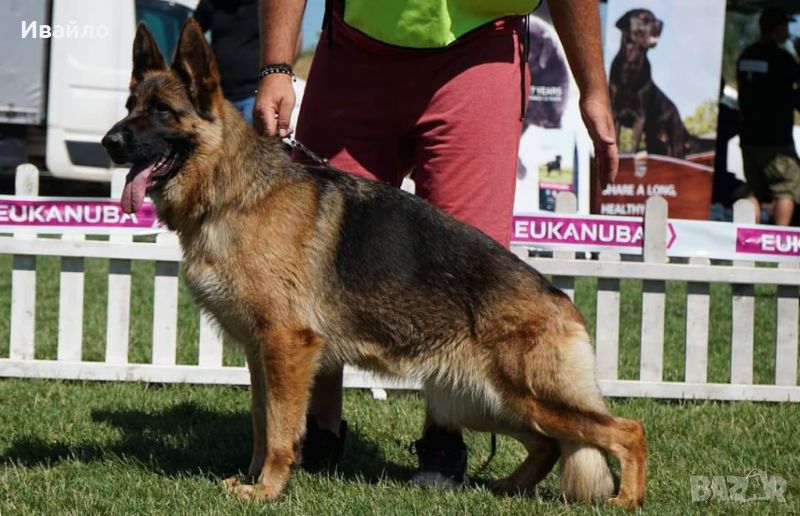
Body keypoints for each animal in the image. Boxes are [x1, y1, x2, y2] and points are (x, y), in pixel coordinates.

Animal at [101, 20, 648, 508]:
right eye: (129, 107)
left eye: (162, 112)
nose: (108, 142)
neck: (232, 190)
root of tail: (562, 301)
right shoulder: (262, 354)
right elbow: (261, 422)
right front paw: (252, 478)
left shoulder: (287, 346)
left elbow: (279, 430)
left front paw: (268, 490)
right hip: (483, 400)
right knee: (549, 444)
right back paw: (505, 488)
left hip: (527, 396)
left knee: (626, 430)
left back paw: (625, 499)